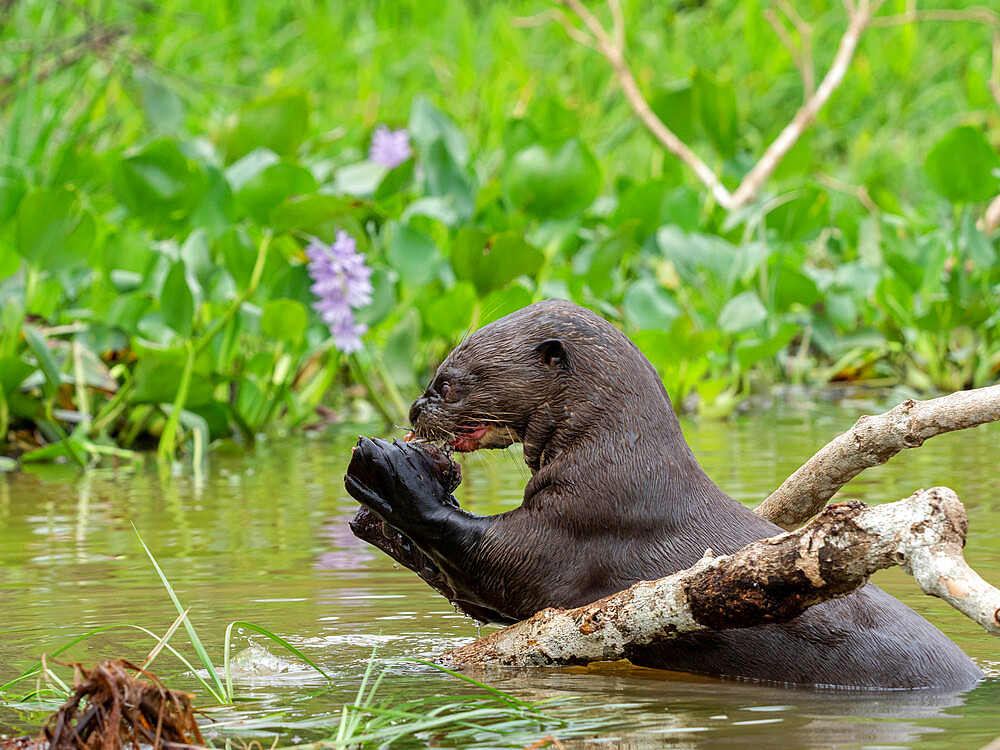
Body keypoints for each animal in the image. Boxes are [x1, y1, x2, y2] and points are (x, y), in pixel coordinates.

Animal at [346, 300, 984, 692]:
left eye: (447, 382)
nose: (414, 409)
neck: (617, 462)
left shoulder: (583, 524)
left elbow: (501, 563)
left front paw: (392, 473)